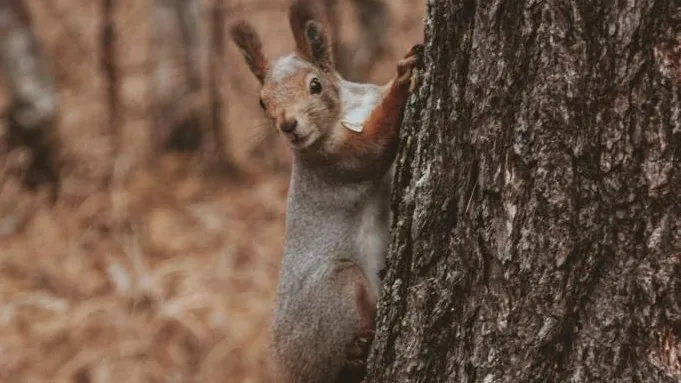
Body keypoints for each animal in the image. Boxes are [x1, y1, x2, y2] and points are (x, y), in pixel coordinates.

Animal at [228, 1, 420, 382]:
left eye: (315, 85)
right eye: (262, 102)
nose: (288, 125)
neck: (348, 108)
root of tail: (294, 369)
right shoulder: (333, 162)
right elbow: (374, 148)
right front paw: (402, 82)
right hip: (337, 289)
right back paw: (358, 353)